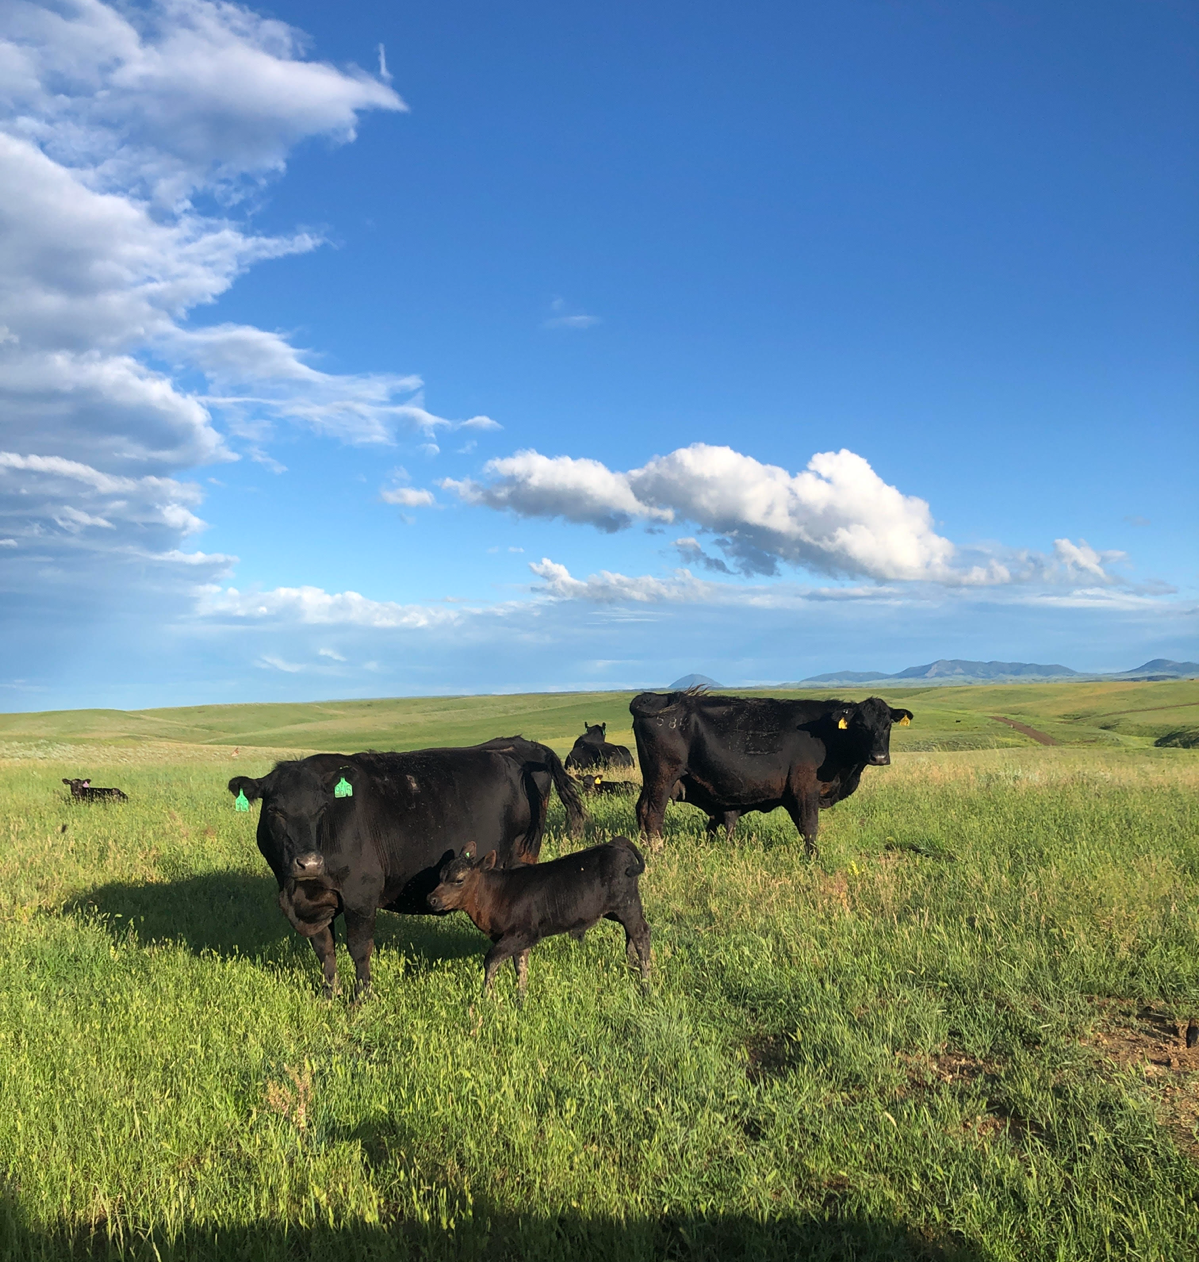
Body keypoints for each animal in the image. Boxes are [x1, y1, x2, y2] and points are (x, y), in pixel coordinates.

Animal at [227, 736, 585, 1000]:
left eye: (322, 809)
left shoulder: (361, 894)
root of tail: (521, 745)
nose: (309, 862)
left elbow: (359, 948)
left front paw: (362, 999)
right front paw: (330, 996)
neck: (297, 890)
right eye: (274, 810)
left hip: (521, 861)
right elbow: (325, 950)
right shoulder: (314, 903)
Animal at [427, 837, 651, 997]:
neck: (497, 893)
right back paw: (633, 969)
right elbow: (521, 967)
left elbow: (491, 960)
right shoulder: (518, 940)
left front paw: (487, 998)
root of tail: (616, 843)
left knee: (641, 934)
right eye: (440, 876)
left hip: (627, 905)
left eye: (459, 880)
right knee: (631, 936)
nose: (432, 899)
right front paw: (520, 999)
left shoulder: (525, 933)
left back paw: (646, 985)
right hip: (617, 911)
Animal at [630, 691, 913, 855]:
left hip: (651, 779)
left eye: (887, 724)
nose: (879, 757)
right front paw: (813, 858)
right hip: (663, 776)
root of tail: (659, 697)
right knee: (653, 815)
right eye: (861, 725)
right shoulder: (805, 790)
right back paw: (658, 851)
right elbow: (810, 827)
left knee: (641, 809)